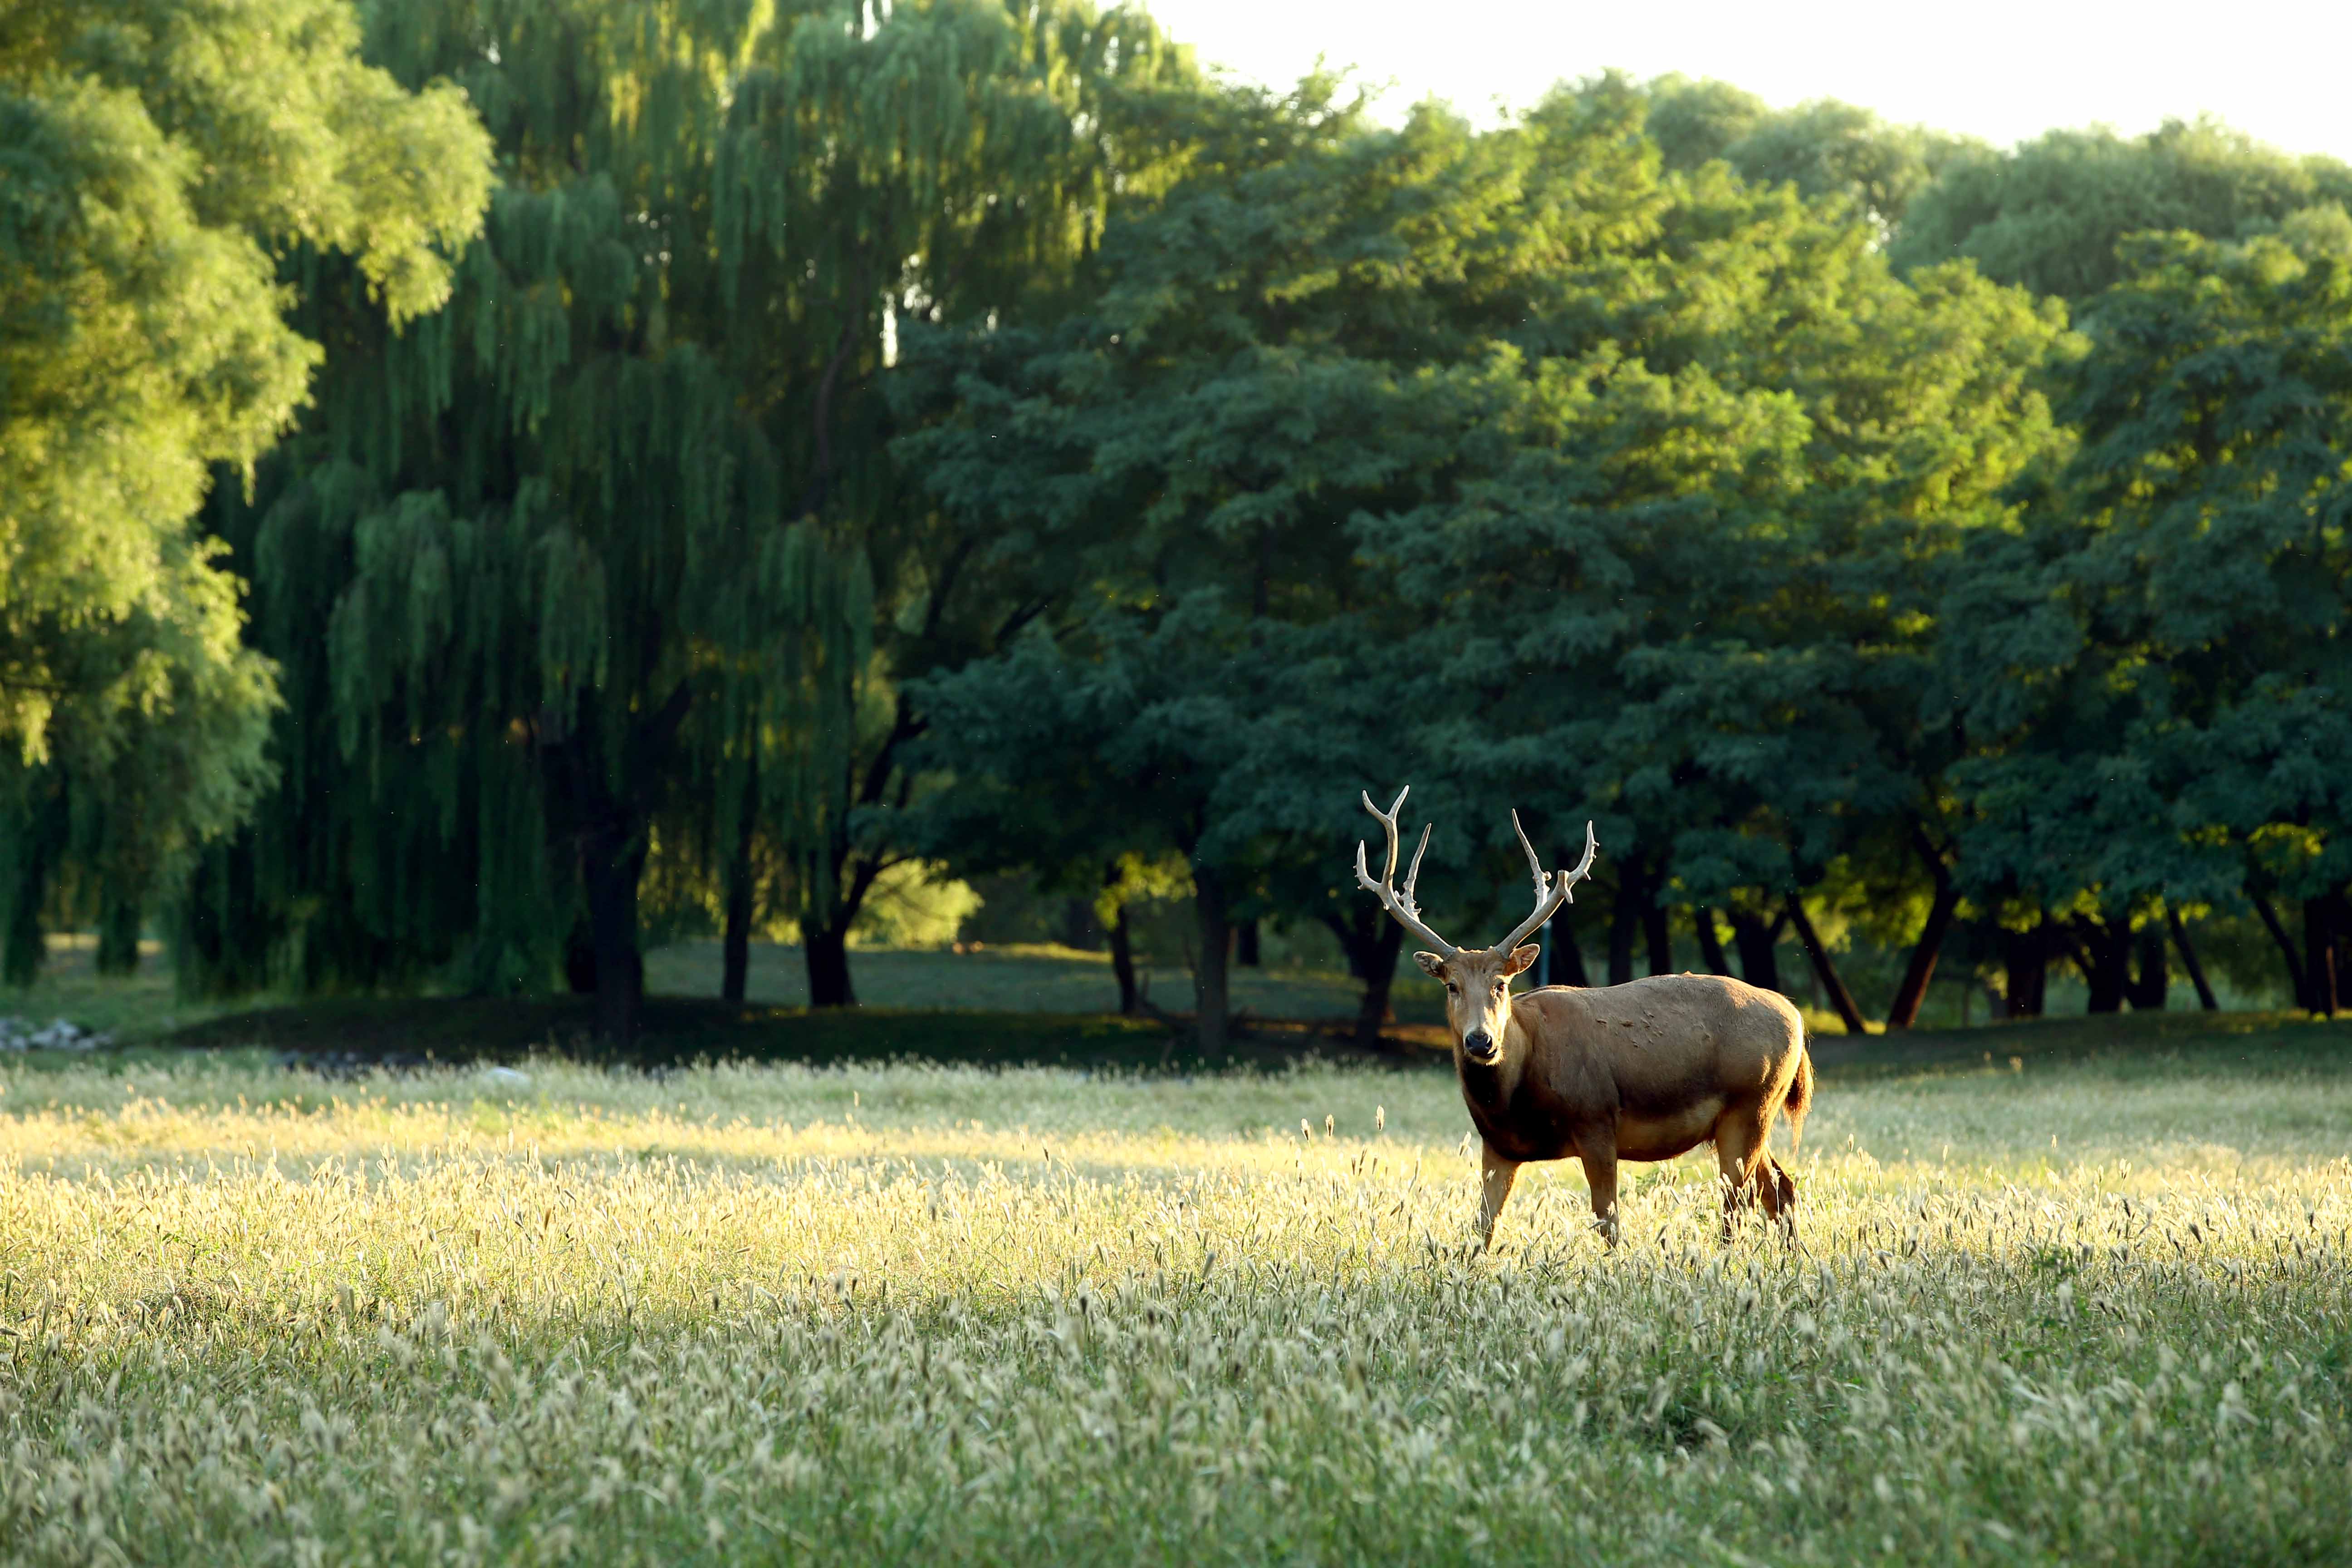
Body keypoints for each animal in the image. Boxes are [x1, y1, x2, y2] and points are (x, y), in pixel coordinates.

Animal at [1354, 789, 1806, 1260]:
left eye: (1501, 984)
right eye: (1451, 986)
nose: (1481, 1041)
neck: (1518, 1093)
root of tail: (1795, 1015)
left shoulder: (1597, 1121)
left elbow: (1609, 1222)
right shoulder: (1497, 1145)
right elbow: (1482, 1228)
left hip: (1751, 1102)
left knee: (1738, 1203)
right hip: (1746, 1118)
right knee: (1781, 1187)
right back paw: (1791, 1259)